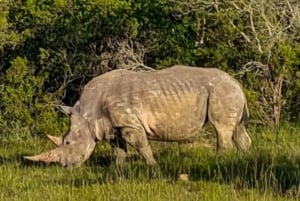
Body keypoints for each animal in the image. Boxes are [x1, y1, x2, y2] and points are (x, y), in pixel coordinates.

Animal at [24, 66, 252, 168]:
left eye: (68, 143)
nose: (65, 167)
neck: (87, 114)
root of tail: (236, 82)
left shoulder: (129, 123)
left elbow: (141, 145)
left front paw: (153, 167)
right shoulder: (112, 126)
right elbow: (118, 149)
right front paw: (117, 169)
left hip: (221, 91)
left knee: (221, 129)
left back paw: (219, 162)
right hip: (228, 92)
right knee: (238, 129)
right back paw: (244, 159)